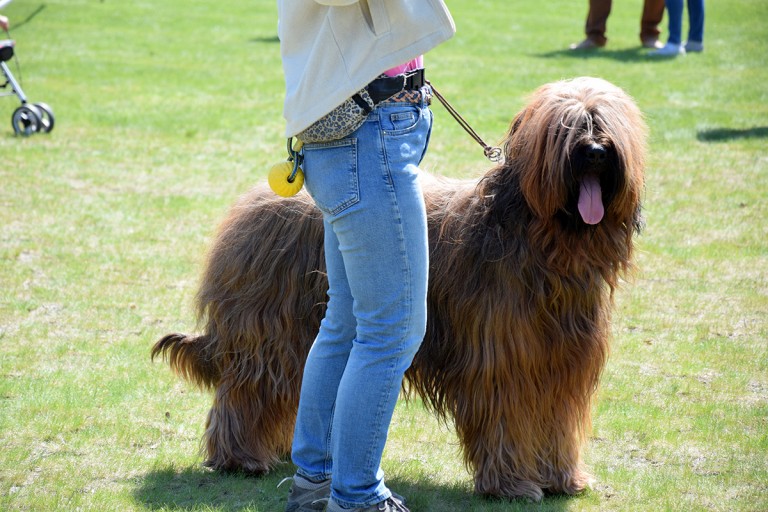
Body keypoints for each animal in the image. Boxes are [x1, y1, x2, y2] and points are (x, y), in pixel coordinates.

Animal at [154, 76, 648, 500]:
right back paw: (240, 457)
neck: (546, 242)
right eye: (569, 127)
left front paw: (561, 478)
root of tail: (248, 205)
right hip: (270, 328)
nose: (595, 152)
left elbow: (557, 419)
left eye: (603, 121)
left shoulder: (562, 359)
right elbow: (507, 416)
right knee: (248, 387)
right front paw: (512, 484)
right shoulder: (503, 358)